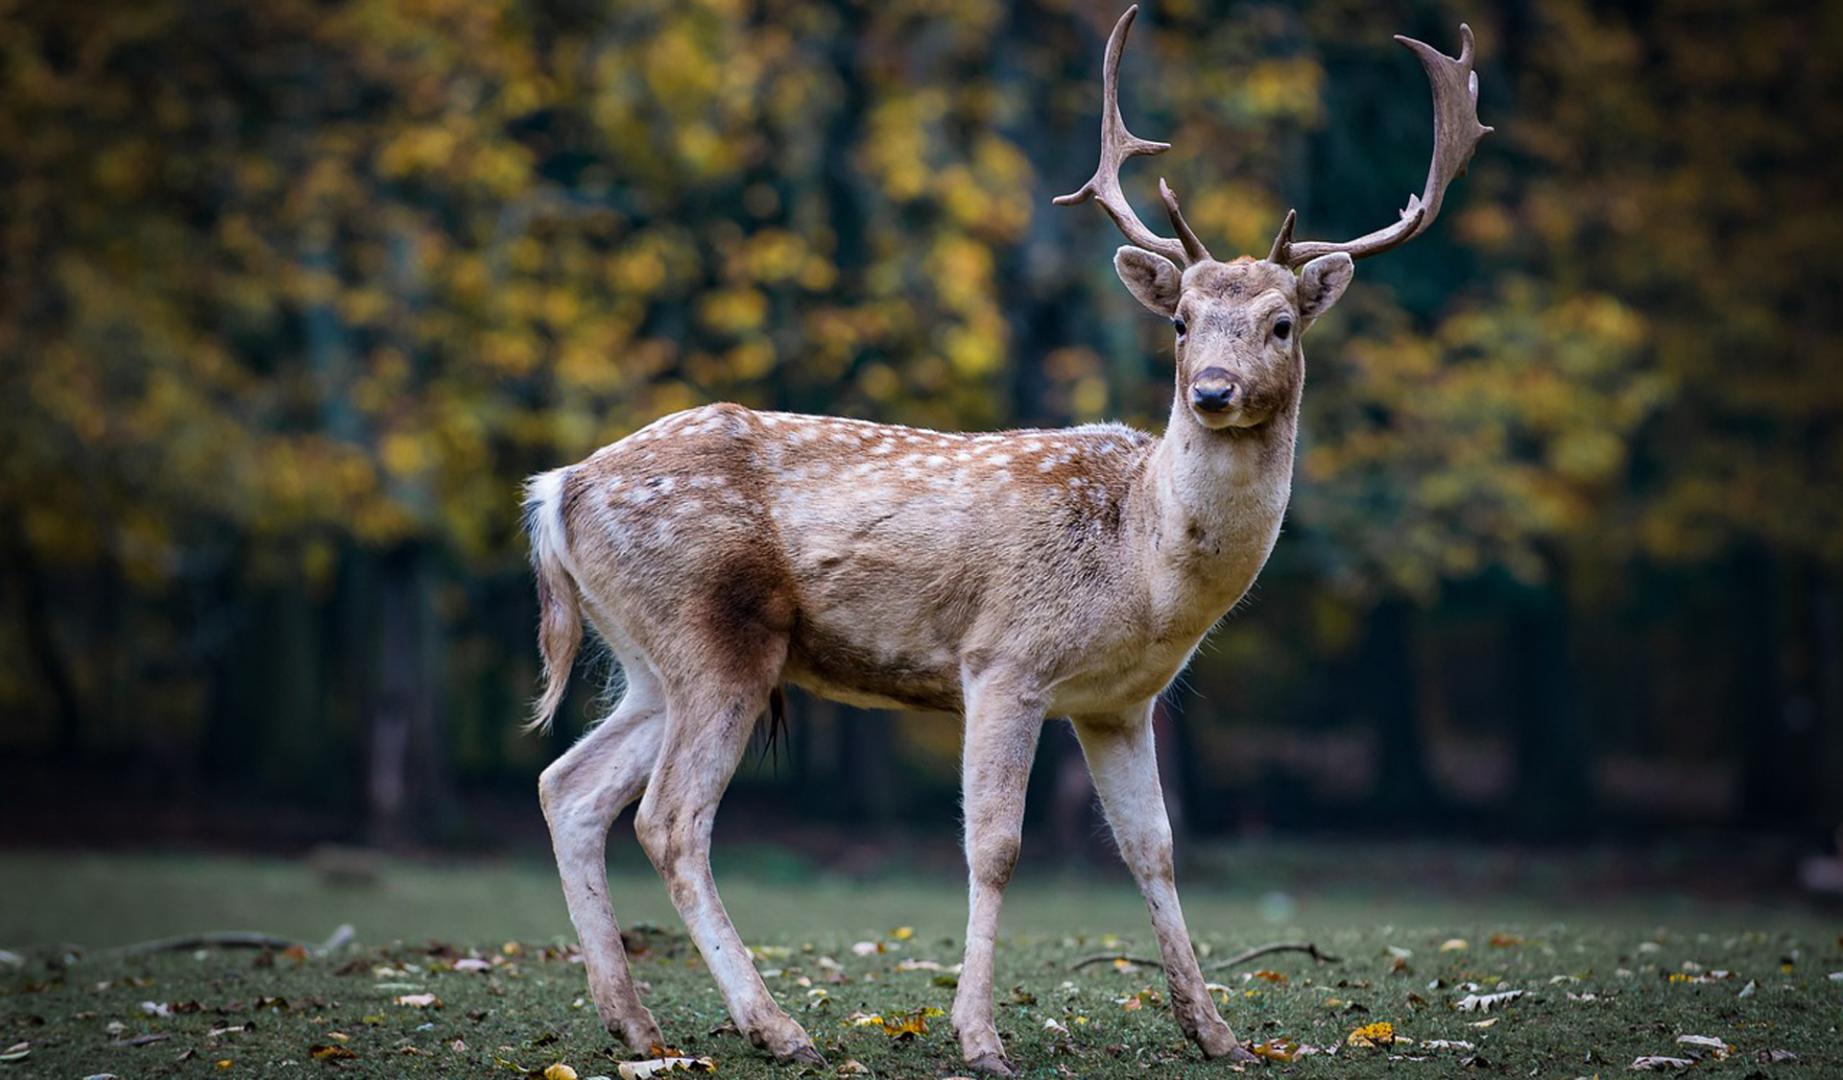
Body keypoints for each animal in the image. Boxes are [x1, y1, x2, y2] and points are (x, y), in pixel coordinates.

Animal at [525, 5, 1488, 1073]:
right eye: (1182, 321)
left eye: (1281, 324)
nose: (1211, 390)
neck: (1142, 566)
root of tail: (557, 489)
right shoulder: (1002, 660)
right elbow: (995, 846)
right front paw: (979, 1037)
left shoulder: (1118, 703)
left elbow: (1153, 848)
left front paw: (1217, 1032)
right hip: (713, 632)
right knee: (669, 819)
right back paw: (776, 1028)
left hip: (648, 656)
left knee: (568, 786)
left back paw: (634, 1022)